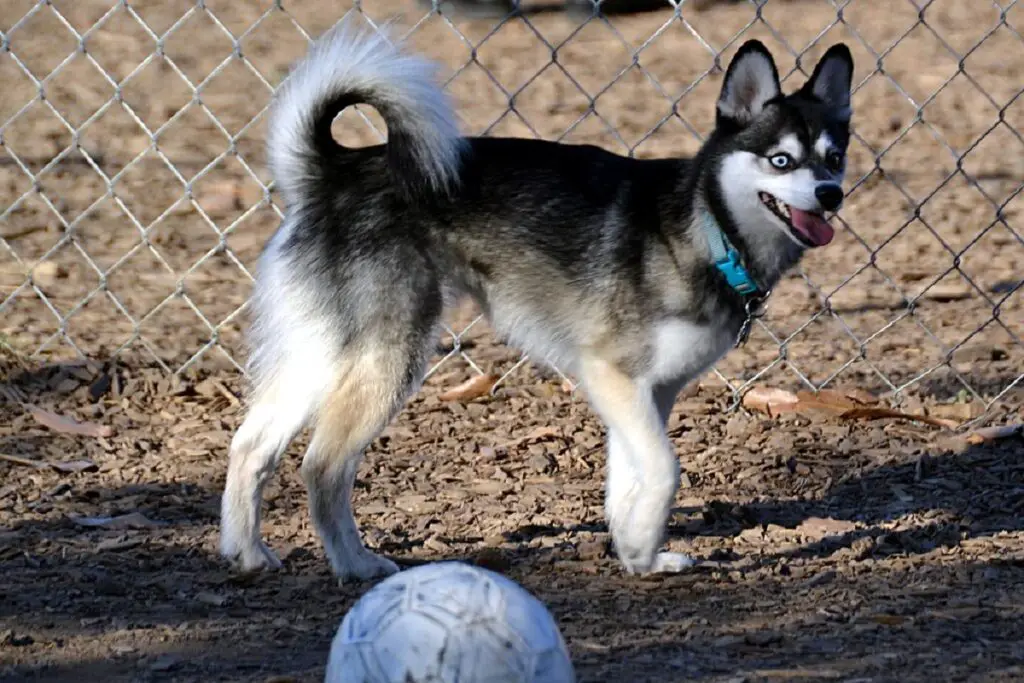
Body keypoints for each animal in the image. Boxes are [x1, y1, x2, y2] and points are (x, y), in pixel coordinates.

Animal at [220, 17, 851, 581]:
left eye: (834, 156)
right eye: (780, 160)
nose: (831, 194)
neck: (706, 226)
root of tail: (334, 169)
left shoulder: (647, 392)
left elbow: (629, 480)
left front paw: (638, 555)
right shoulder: (611, 374)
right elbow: (665, 470)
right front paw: (643, 547)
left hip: (323, 354)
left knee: (250, 446)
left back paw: (247, 553)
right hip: (389, 359)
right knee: (323, 466)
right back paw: (353, 565)